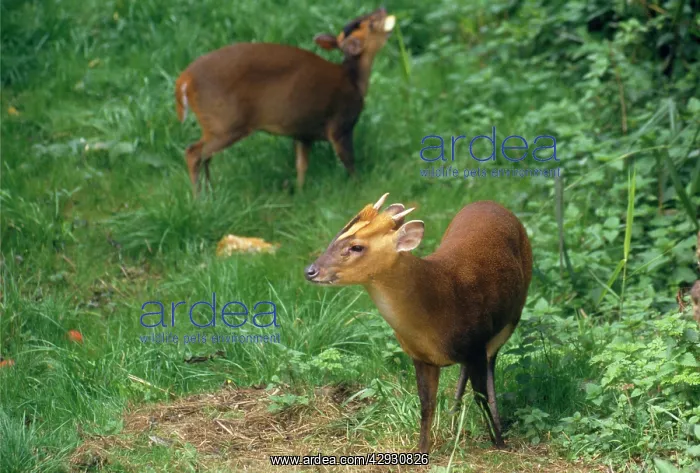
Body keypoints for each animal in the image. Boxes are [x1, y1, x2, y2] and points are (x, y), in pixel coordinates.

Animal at [174, 8, 396, 196]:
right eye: (370, 23)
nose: (383, 9)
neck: (354, 80)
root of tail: (185, 78)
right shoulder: (340, 124)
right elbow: (349, 161)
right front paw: (361, 187)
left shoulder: (303, 133)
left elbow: (301, 165)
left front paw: (300, 192)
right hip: (226, 123)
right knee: (193, 153)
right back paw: (199, 199)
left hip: (215, 125)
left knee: (204, 156)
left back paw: (210, 193)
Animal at [304, 193, 533, 453]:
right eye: (336, 236)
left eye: (356, 247)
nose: (310, 271)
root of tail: (490, 202)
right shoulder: (420, 356)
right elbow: (426, 403)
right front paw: (421, 448)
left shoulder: (477, 342)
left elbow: (480, 395)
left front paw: (499, 443)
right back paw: (453, 421)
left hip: (512, 316)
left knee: (491, 365)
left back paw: (495, 428)